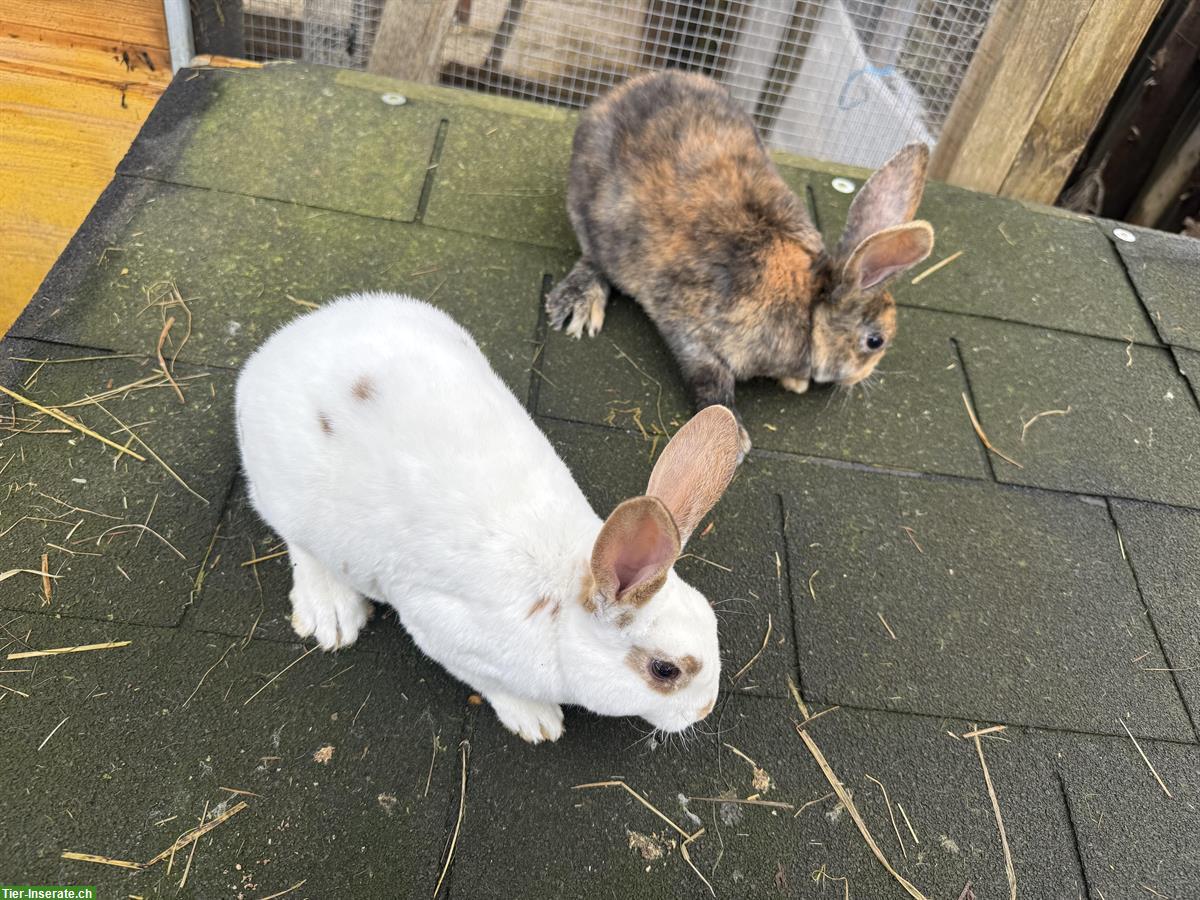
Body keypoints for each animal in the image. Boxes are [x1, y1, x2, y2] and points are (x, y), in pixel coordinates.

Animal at [235, 292, 742, 743]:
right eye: (665, 670)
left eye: (712, 621)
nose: (704, 709)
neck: (561, 606)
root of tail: (276, 348)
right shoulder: (445, 634)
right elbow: (492, 685)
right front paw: (538, 722)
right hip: (289, 501)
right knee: (297, 542)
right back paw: (332, 615)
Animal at [546, 70, 935, 454]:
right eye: (875, 341)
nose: (863, 377)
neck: (807, 305)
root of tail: (620, 91)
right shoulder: (688, 326)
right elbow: (708, 376)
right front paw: (735, 435)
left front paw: (794, 383)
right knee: (594, 256)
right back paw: (579, 302)